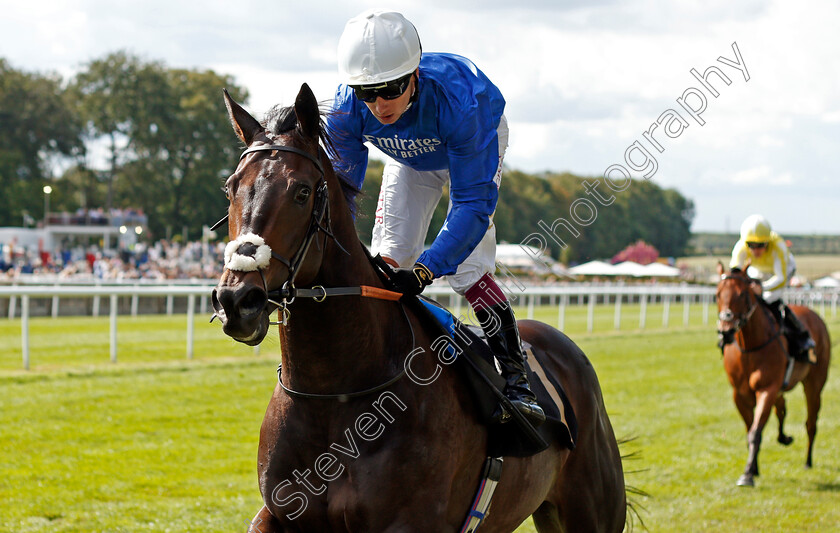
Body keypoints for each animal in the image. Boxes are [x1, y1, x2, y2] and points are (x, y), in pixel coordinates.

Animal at [213, 85, 628, 528]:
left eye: (302, 191)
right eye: (230, 187)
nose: (237, 300)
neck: (334, 395)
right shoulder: (278, 512)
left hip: (593, 509)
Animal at [716, 262, 832, 486]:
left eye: (743, 294)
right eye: (717, 294)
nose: (725, 330)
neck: (750, 347)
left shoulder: (767, 389)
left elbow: (755, 432)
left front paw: (748, 474)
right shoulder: (740, 395)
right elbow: (750, 429)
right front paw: (754, 468)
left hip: (814, 384)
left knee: (811, 422)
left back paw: (808, 461)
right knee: (782, 408)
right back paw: (784, 437)